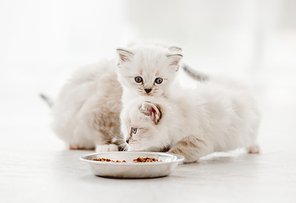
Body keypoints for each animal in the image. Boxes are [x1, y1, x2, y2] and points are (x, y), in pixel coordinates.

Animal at [49, 42, 201, 151]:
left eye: (158, 81)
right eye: (138, 79)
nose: (147, 90)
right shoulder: (95, 112)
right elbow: (100, 132)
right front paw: (106, 147)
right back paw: (74, 145)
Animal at [119, 78, 260, 163]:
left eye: (135, 130)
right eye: (125, 129)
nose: (126, 140)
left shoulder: (196, 141)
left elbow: (176, 152)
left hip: (248, 131)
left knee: (251, 139)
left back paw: (254, 148)